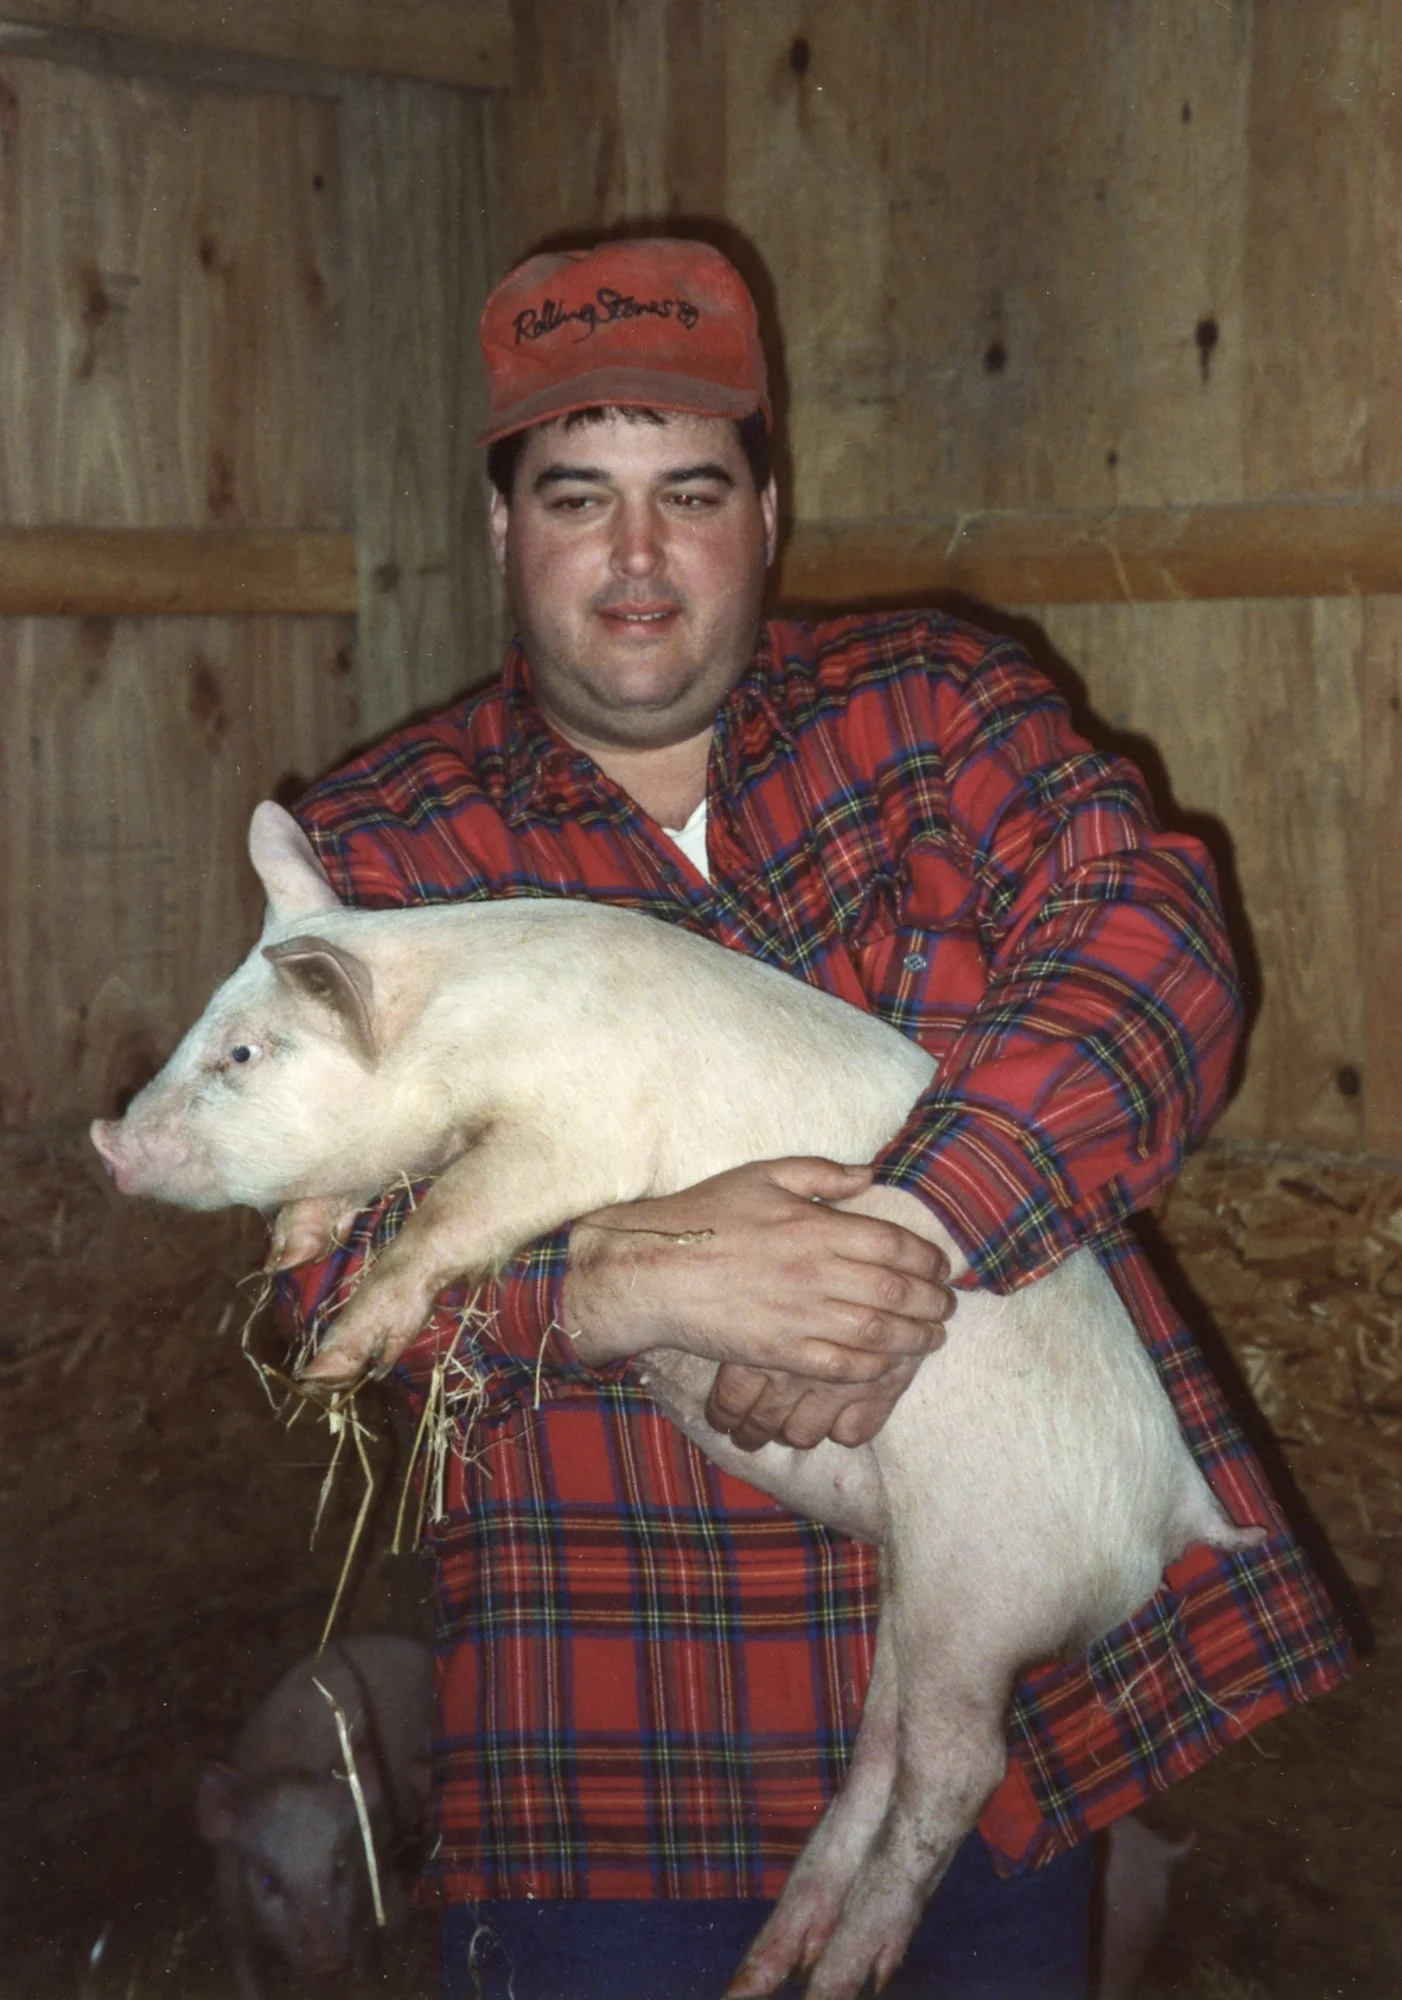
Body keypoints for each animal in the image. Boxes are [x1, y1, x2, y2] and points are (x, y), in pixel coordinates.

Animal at [195, 1634, 433, 2000]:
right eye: (268, 1880)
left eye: (340, 1868)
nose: (326, 1962)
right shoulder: (231, 1910)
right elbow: (244, 1970)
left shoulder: (367, 1882)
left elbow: (363, 1943)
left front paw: (356, 1981)